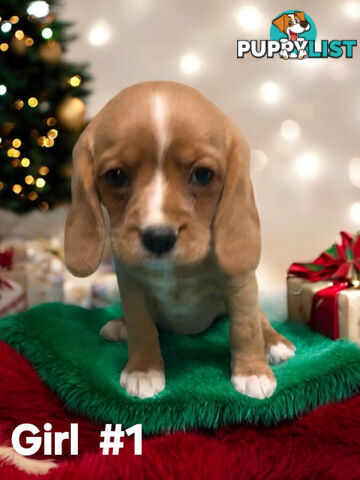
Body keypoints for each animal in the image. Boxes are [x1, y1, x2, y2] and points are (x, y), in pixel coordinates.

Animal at [64, 80, 296, 400]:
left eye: (202, 174)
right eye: (117, 175)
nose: (159, 238)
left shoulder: (240, 287)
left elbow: (245, 327)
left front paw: (252, 372)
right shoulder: (132, 287)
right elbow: (142, 329)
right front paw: (143, 370)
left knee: (261, 319)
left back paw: (275, 343)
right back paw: (119, 326)